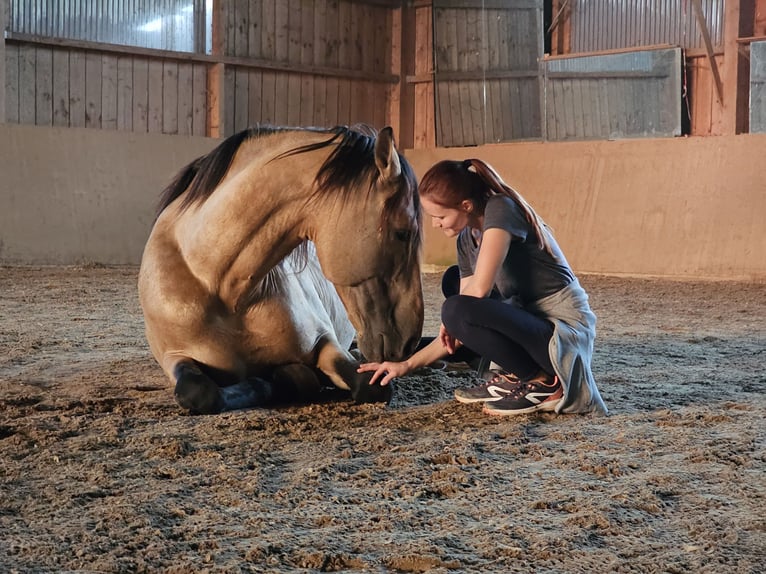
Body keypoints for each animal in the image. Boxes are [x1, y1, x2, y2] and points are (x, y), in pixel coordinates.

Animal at [138, 125, 426, 414]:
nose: (408, 342)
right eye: (403, 233)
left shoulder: (324, 340)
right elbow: (199, 391)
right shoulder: (175, 357)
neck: (221, 288)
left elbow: (369, 385)